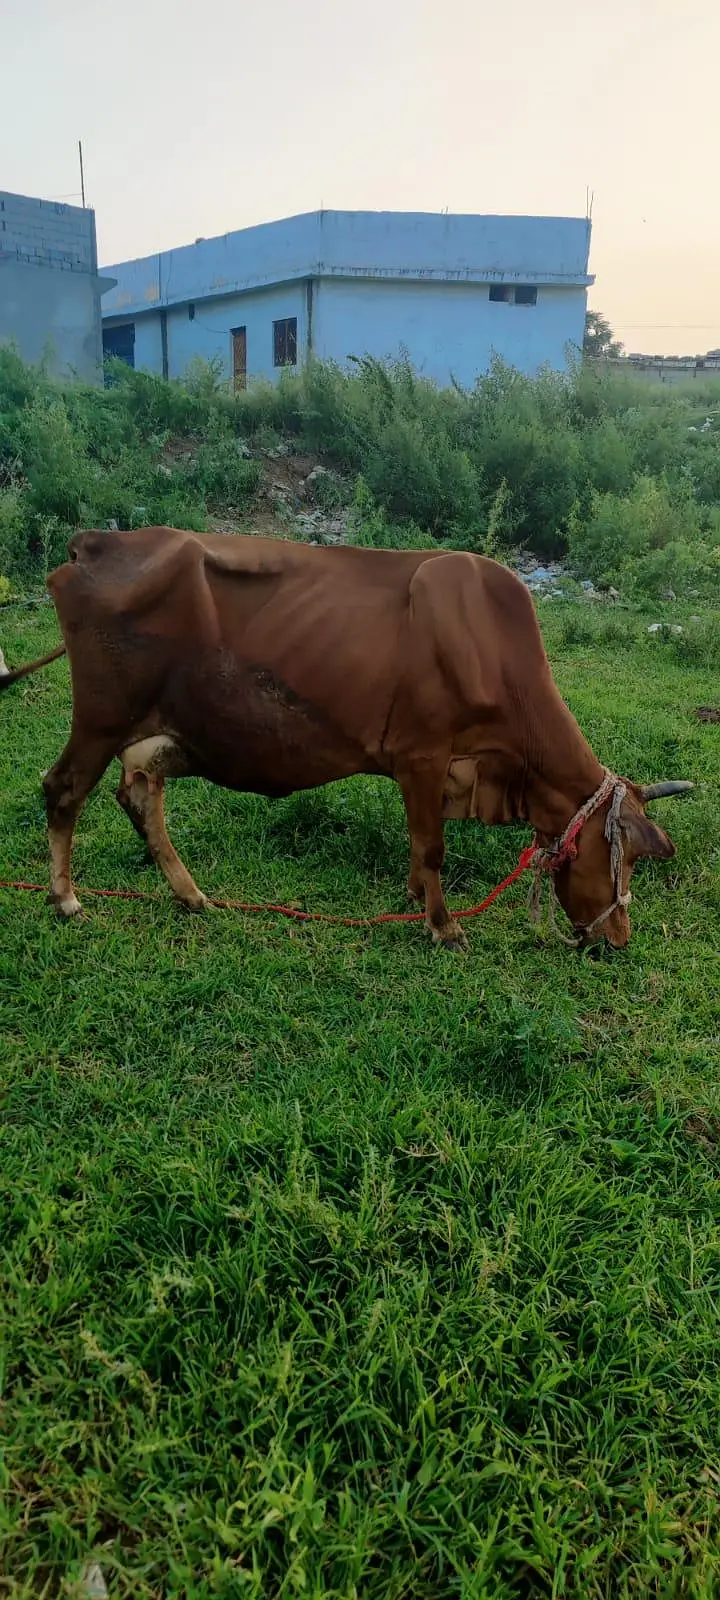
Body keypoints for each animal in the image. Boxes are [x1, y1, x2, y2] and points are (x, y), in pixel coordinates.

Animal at [0, 526, 692, 948]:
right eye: (623, 855)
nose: (618, 939)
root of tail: (94, 544)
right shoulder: (422, 753)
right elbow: (432, 847)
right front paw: (443, 927)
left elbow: (417, 844)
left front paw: (414, 898)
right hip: (102, 716)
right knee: (63, 789)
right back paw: (66, 899)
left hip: (154, 730)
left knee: (141, 796)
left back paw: (191, 895)